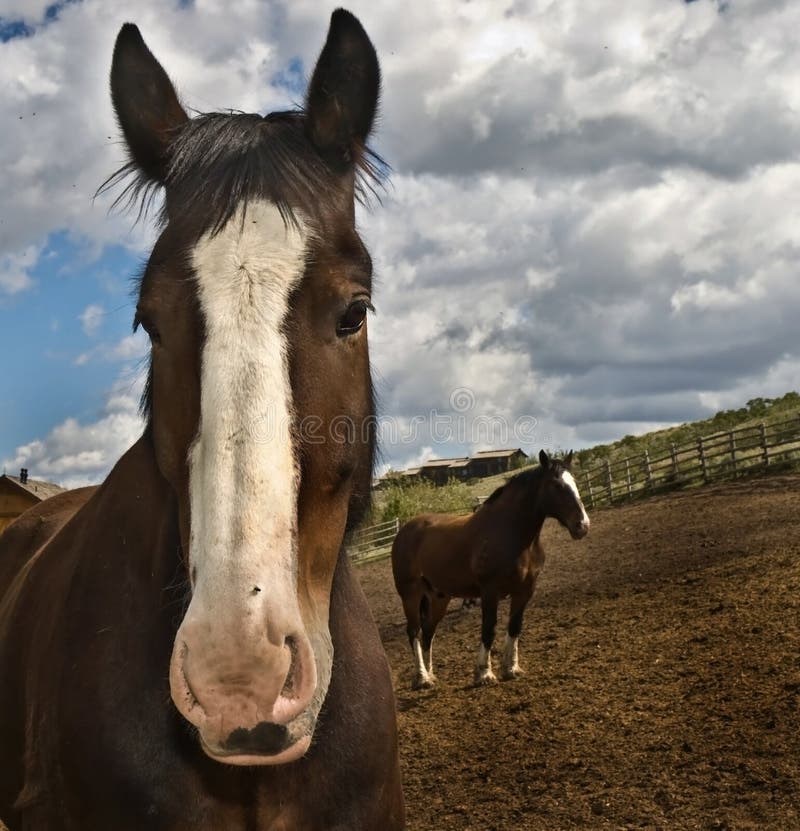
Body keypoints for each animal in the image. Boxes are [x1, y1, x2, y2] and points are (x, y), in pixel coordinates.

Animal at [391, 450, 590, 689]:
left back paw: (430, 675)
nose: (582, 525)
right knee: (414, 631)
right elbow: (489, 629)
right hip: (410, 594)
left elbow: (515, 626)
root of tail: (405, 531)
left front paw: (511, 669)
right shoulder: (489, 591)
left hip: (439, 597)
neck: (511, 534)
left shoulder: (525, 590)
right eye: (557, 485)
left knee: (429, 631)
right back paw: (421, 678)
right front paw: (484, 674)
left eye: (574, 482)